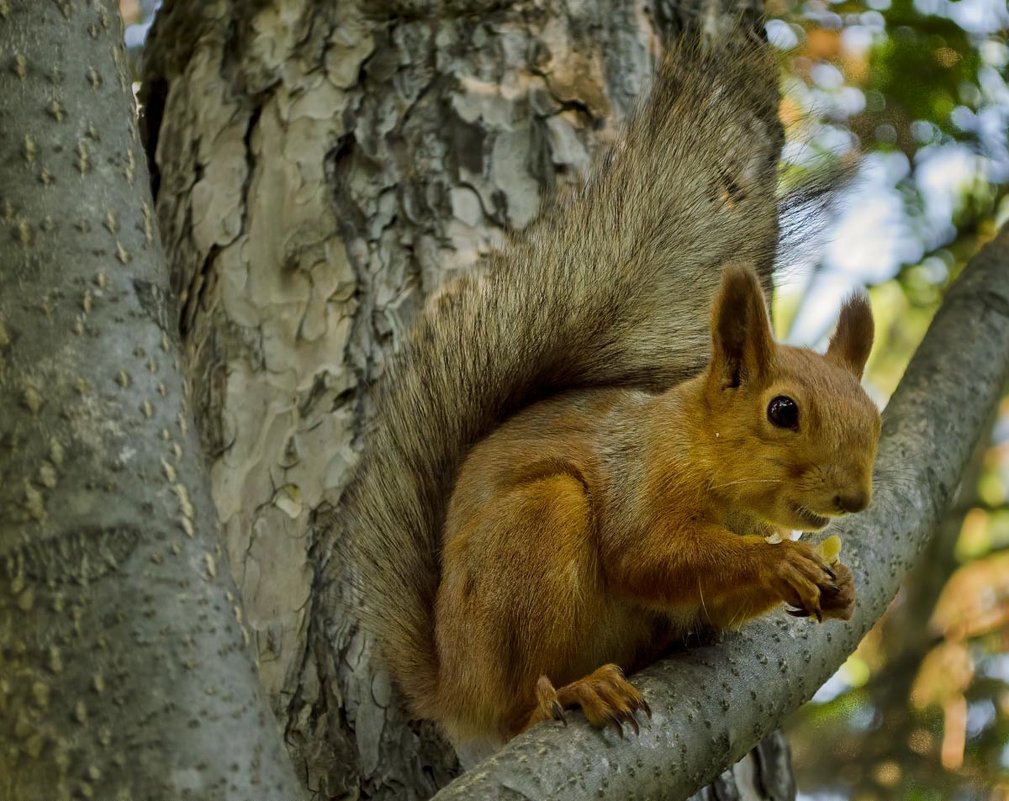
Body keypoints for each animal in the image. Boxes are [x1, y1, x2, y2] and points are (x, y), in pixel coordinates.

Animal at [349, 23, 883, 754]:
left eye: (873, 417)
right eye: (782, 410)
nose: (853, 499)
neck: (697, 444)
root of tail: (455, 690)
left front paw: (840, 585)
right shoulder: (641, 477)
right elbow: (646, 556)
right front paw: (779, 564)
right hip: (534, 536)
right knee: (520, 705)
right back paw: (575, 691)